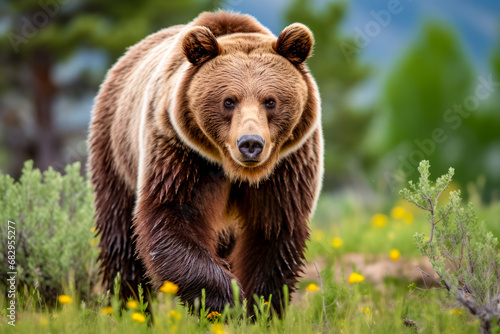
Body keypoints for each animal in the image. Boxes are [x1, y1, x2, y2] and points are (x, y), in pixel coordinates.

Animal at [89, 10, 324, 316]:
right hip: (115, 150)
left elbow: (273, 232)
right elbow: (172, 219)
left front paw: (259, 308)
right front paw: (227, 302)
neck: (236, 172)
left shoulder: (287, 165)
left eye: (270, 101)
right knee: (120, 239)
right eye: (229, 101)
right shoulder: (181, 153)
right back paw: (128, 308)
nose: (251, 143)